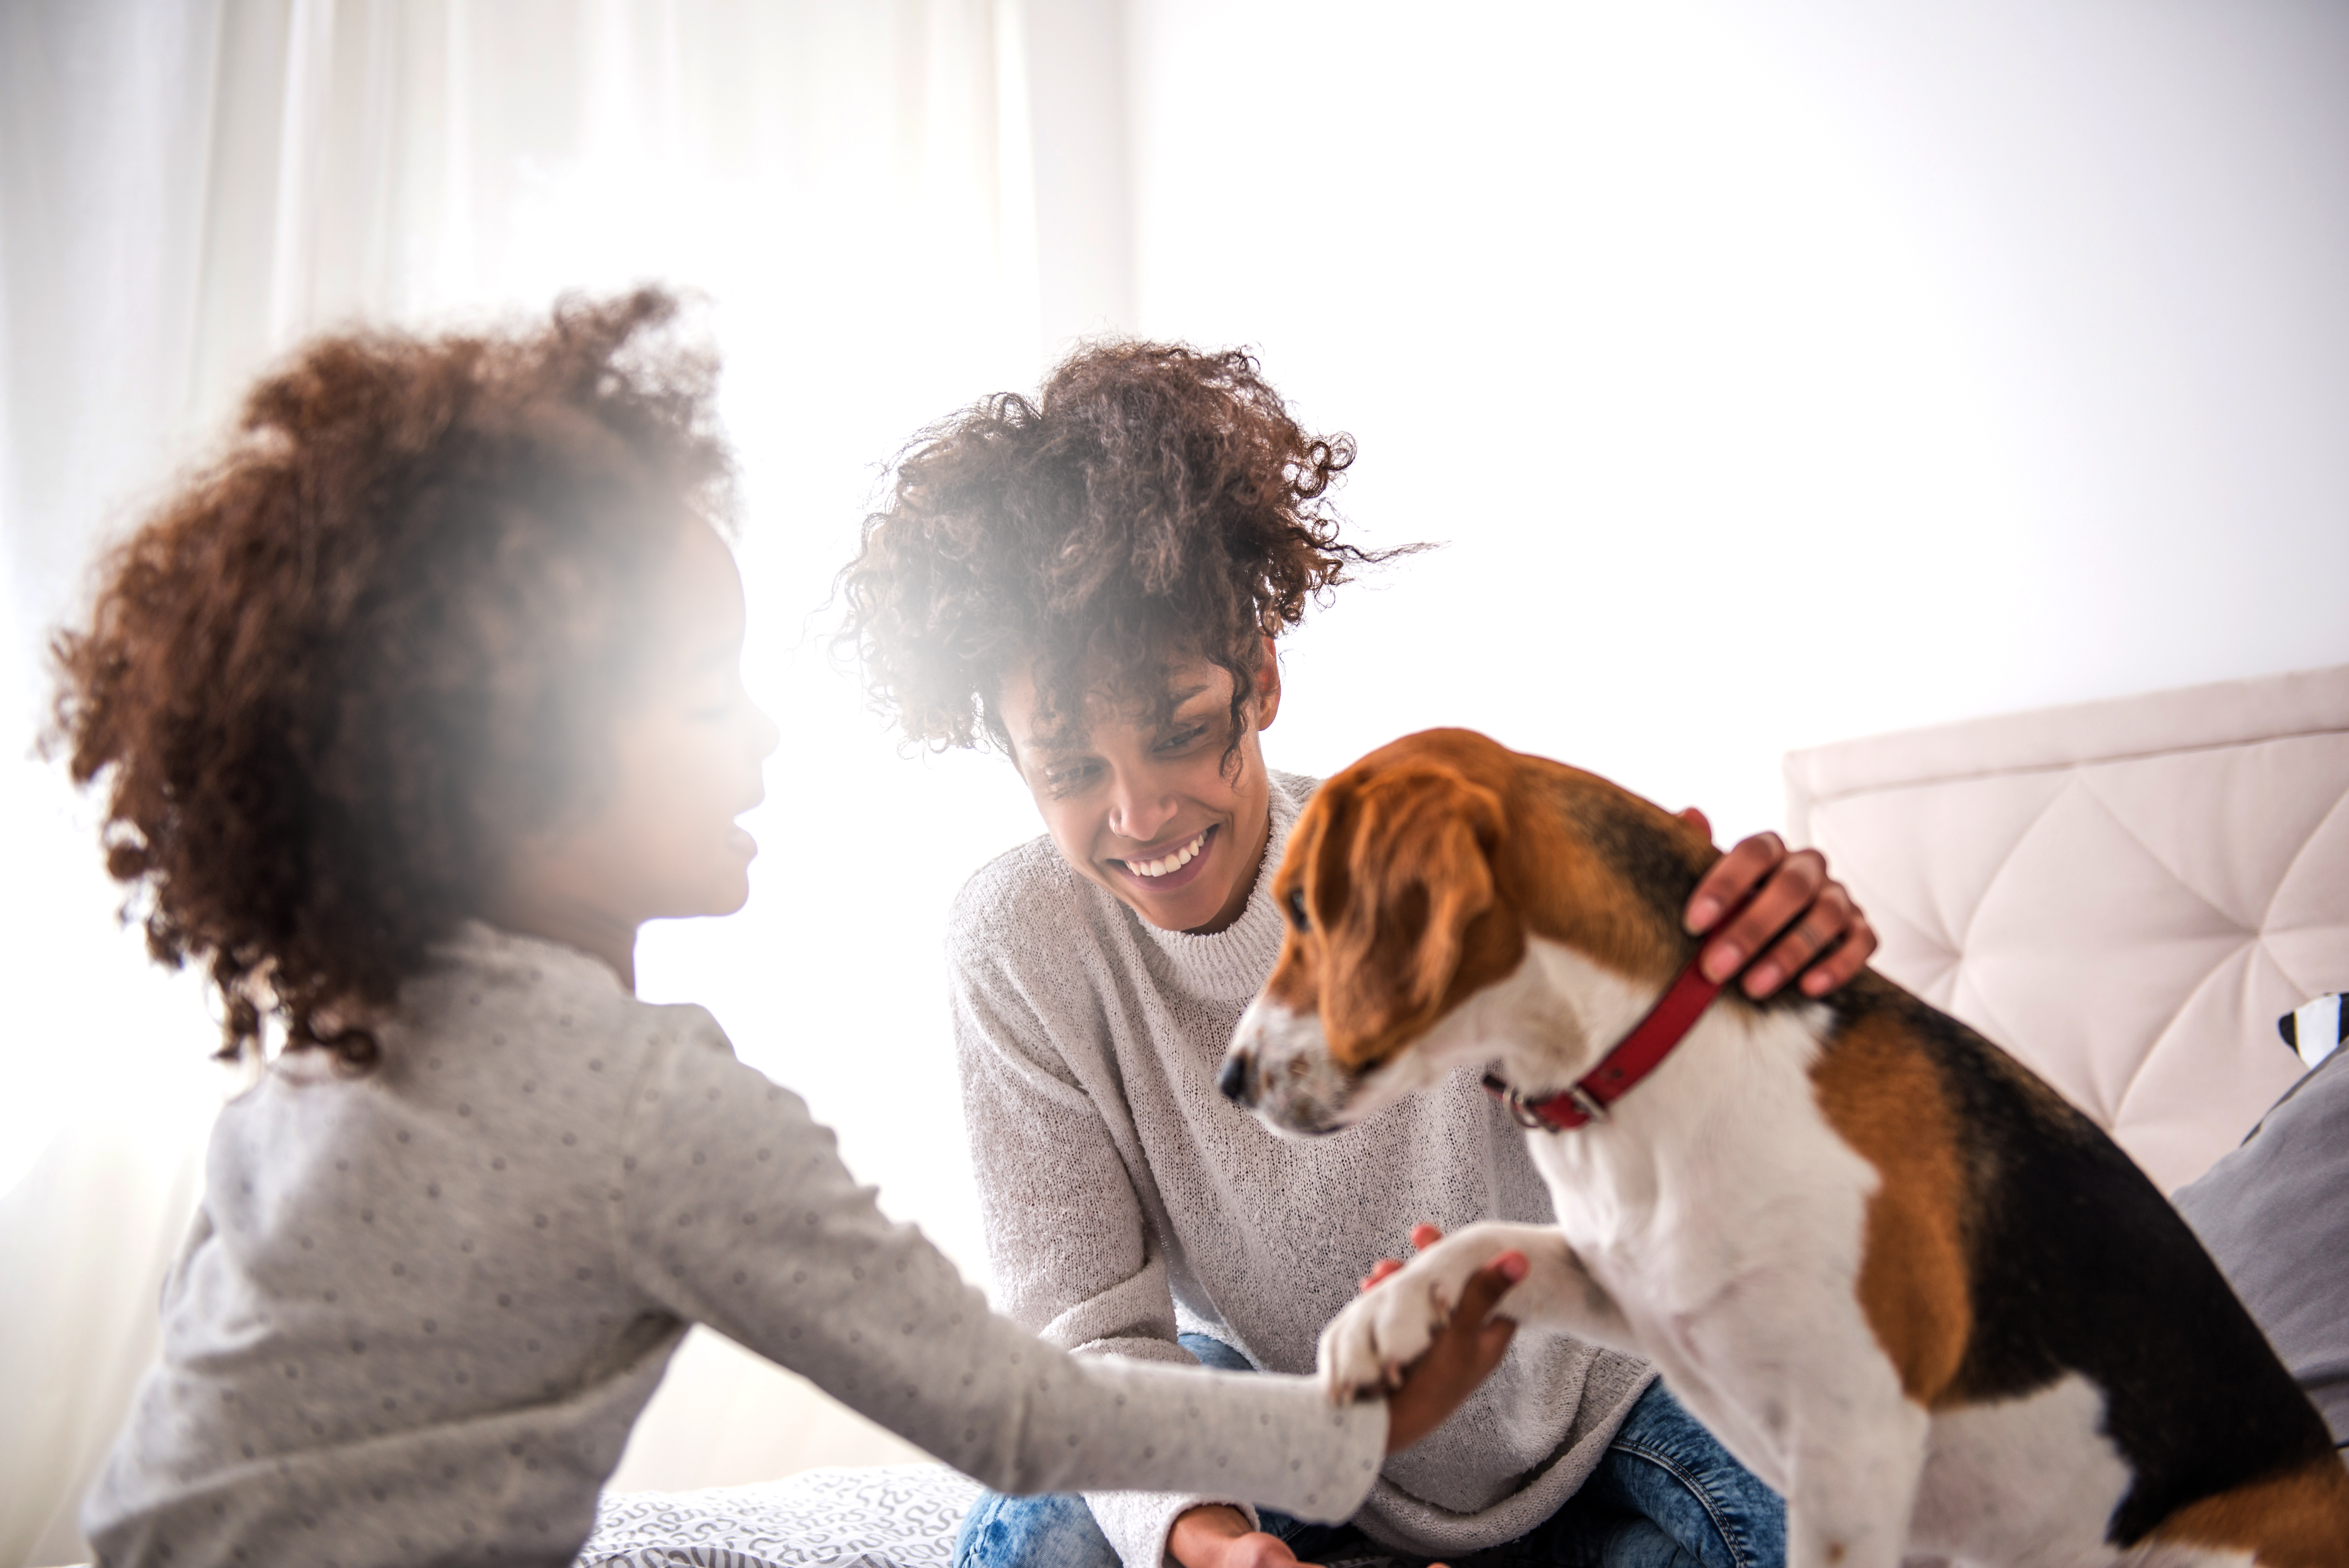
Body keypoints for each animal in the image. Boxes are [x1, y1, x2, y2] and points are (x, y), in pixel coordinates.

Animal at [1221, 737, 2339, 1568]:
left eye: (1305, 908)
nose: (1231, 1079)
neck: (1647, 1064)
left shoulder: (1851, 1448)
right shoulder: (1632, 1284)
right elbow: (1498, 1241)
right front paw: (1382, 1317)